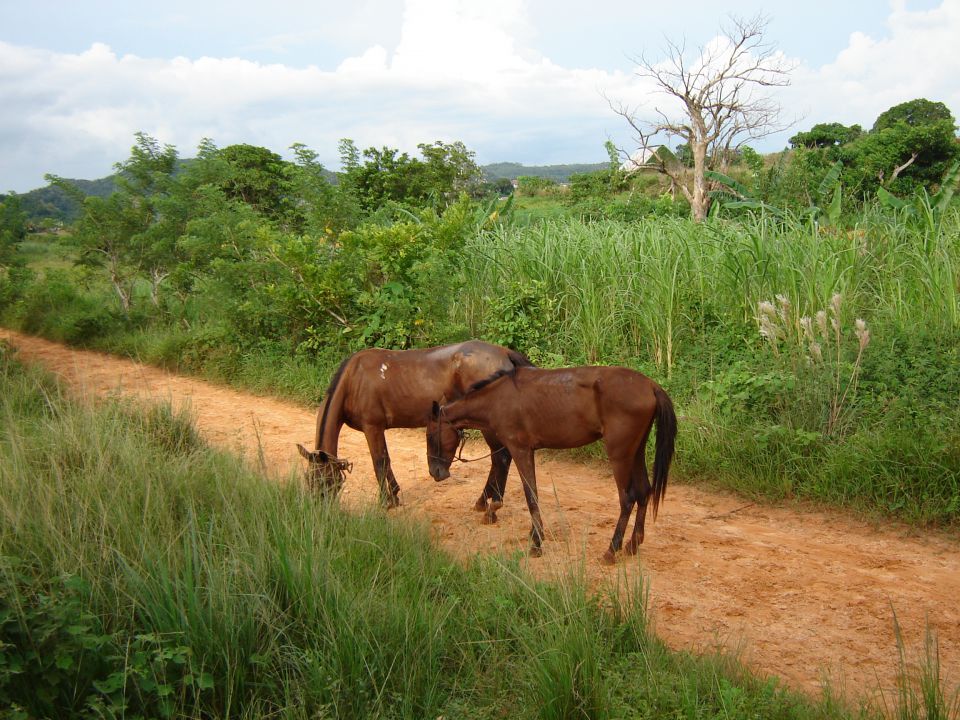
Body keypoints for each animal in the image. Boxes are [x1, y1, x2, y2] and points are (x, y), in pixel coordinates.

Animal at [296, 342, 532, 506]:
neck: (353, 380)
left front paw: (386, 501)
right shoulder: (376, 429)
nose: (317, 509)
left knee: (500, 458)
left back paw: (485, 502)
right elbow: (385, 461)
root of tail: (504, 352)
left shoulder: (372, 427)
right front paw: (394, 495)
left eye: (325, 481)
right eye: (309, 480)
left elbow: (379, 462)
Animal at [428, 366, 676, 564]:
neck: (498, 399)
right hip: (636, 452)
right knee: (644, 492)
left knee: (627, 499)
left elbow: (531, 494)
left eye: (431, 435)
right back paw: (633, 544)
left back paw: (611, 550)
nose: (435, 473)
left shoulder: (520, 449)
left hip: (620, 456)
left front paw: (536, 542)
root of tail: (650, 385)